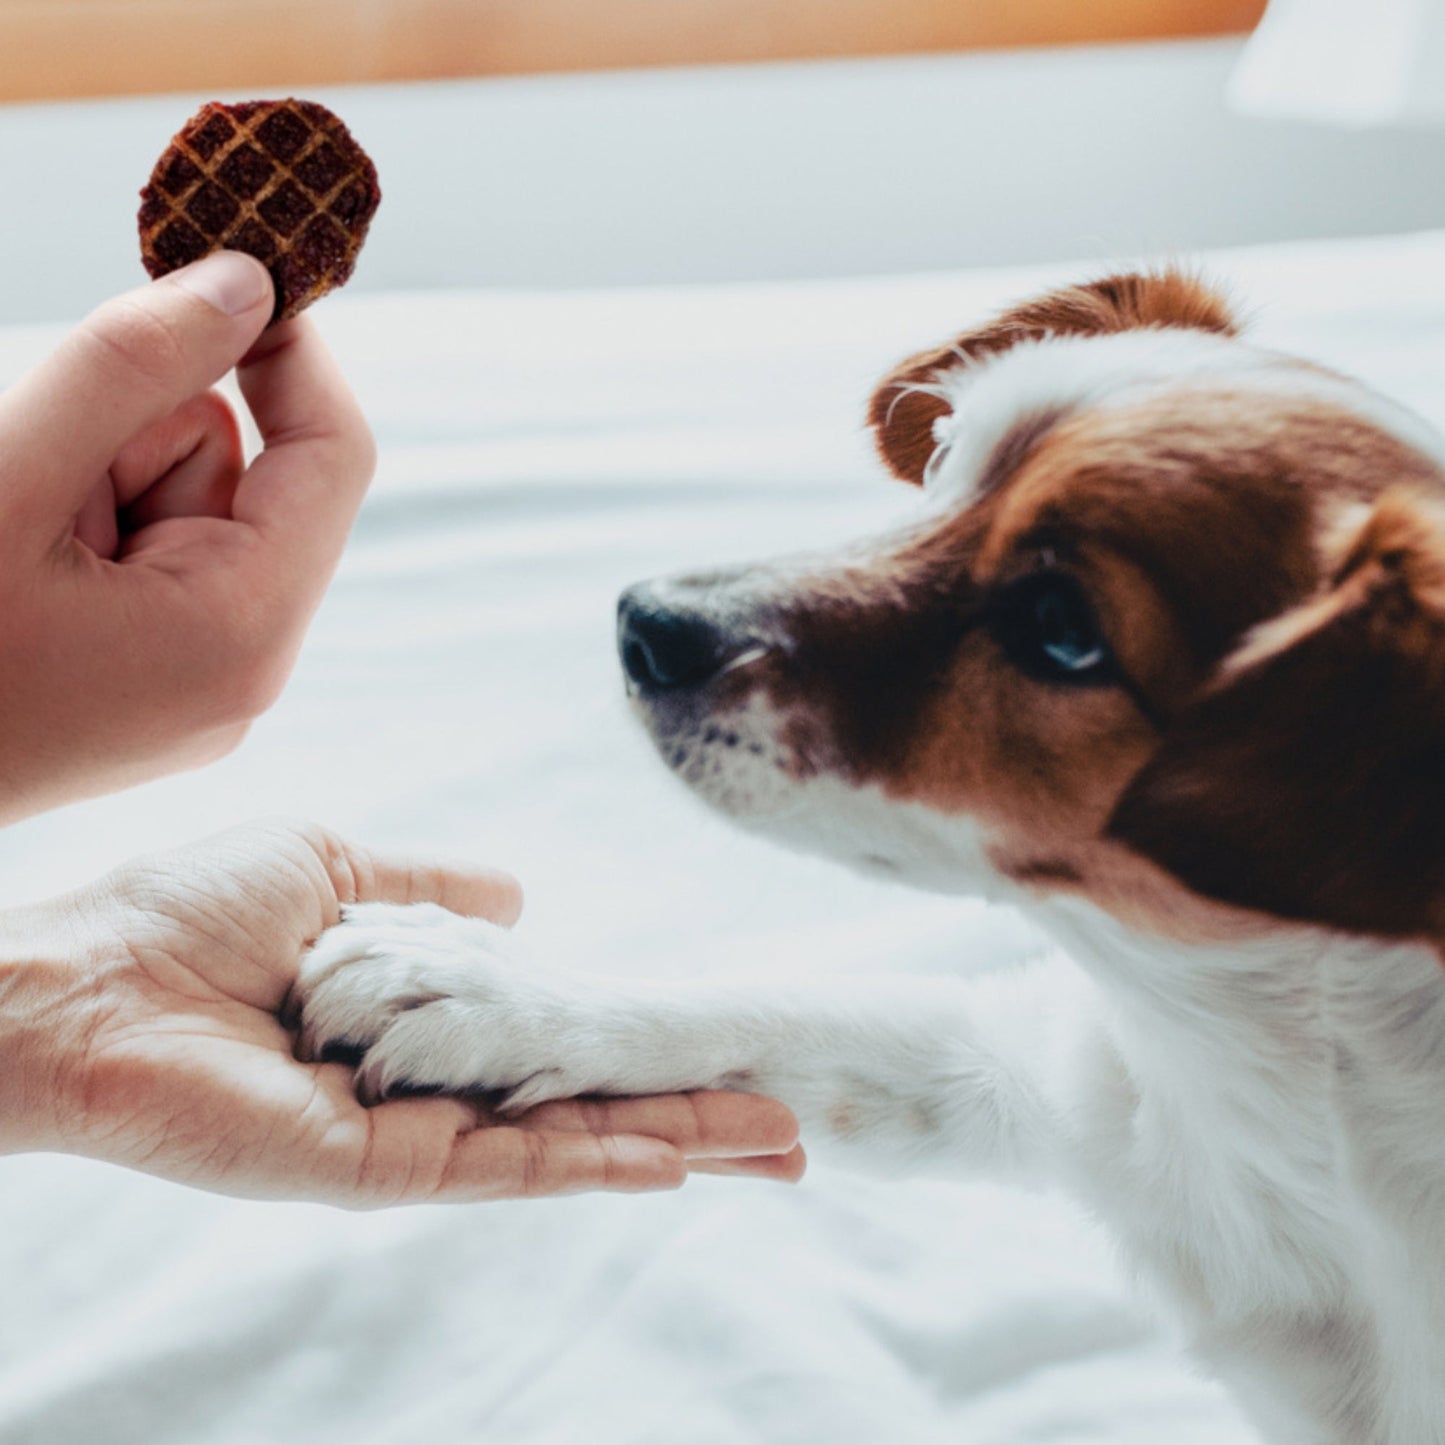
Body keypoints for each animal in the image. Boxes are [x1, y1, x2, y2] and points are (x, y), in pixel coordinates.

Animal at [290, 273, 1445, 1445]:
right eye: (943, 463)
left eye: (1060, 626)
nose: (642, 621)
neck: (1249, 1069)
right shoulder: (1042, 1075)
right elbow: (793, 1011)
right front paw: (496, 992)